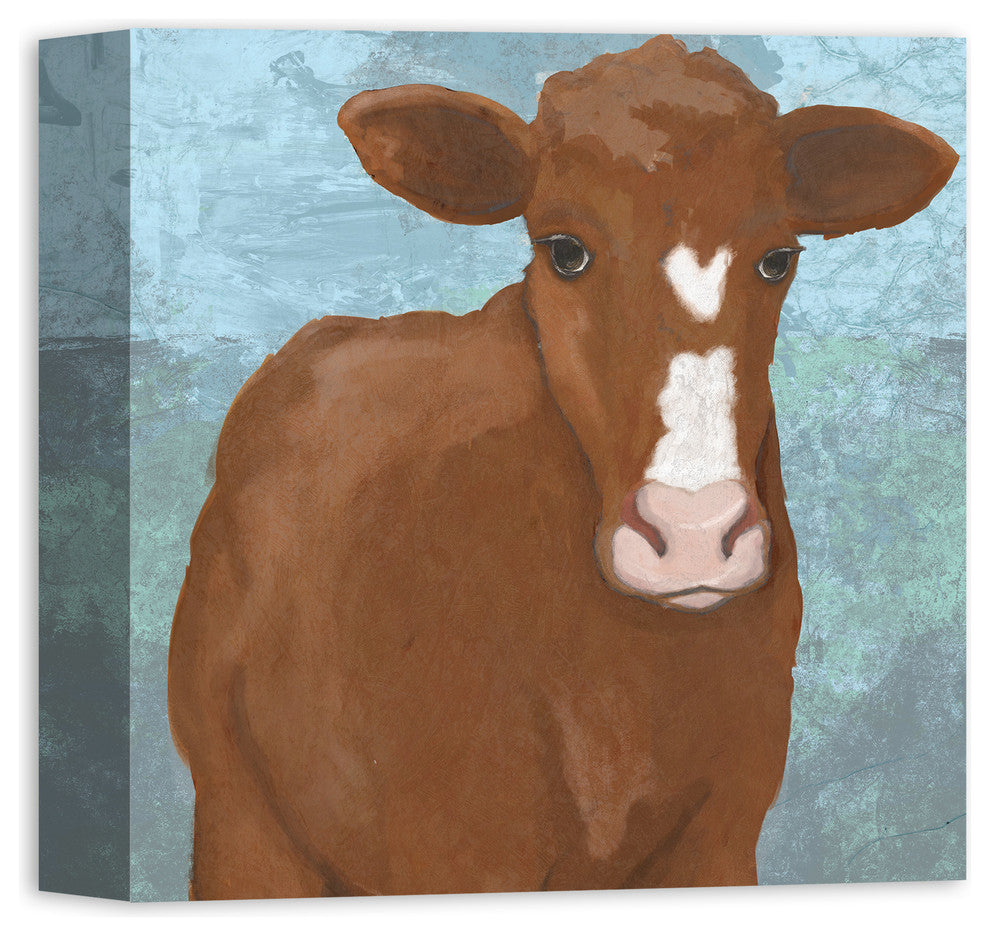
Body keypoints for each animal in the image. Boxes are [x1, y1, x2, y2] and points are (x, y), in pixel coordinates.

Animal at [168, 35, 957, 899]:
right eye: (565, 252)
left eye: (778, 259)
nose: (693, 533)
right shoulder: (457, 850)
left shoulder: (721, 834)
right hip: (240, 813)